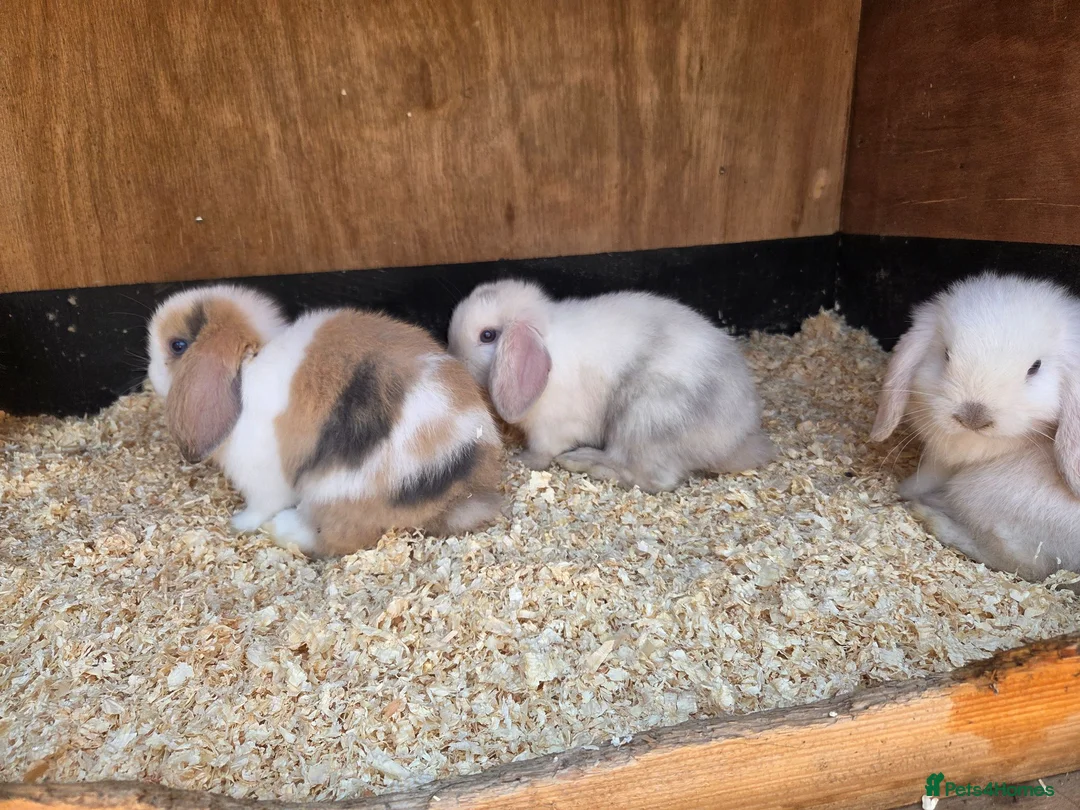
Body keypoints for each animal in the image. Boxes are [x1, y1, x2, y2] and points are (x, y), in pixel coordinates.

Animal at [147, 284, 504, 557]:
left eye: (177, 345)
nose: (149, 372)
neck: (247, 367)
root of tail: (459, 492)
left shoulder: (261, 479)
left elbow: (261, 505)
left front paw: (240, 523)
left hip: (336, 494)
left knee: (335, 536)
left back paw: (280, 529)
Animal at [446, 279, 774, 493]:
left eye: (488, 335)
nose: (456, 359)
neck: (545, 340)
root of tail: (735, 440)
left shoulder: (551, 428)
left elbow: (542, 452)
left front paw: (524, 460)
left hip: (643, 421)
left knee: (650, 477)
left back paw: (583, 461)